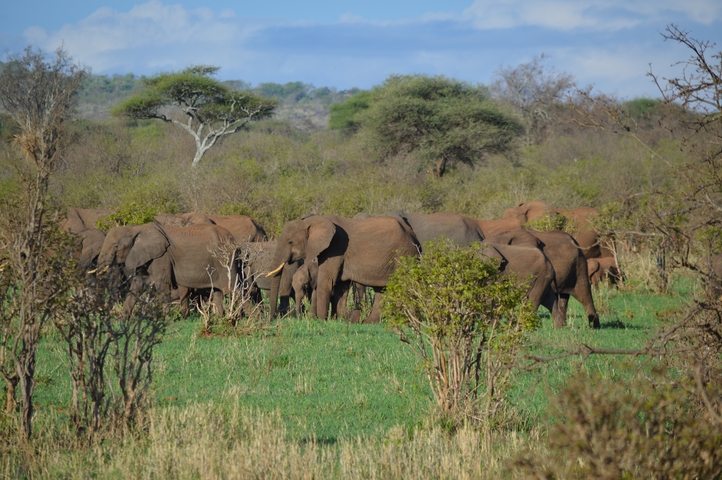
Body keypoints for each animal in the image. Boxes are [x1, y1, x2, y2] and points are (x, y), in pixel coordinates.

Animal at [96, 222, 241, 316]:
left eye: (115, 246)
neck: (135, 229)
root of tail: (233, 238)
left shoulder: (162, 257)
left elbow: (162, 285)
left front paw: (164, 319)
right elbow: (138, 284)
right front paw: (123, 320)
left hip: (226, 260)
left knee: (233, 290)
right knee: (218, 292)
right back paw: (219, 319)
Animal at [266, 214, 421, 323]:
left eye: (290, 242)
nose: (272, 318)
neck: (312, 221)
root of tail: (414, 235)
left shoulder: (334, 248)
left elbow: (327, 282)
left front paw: (321, 320)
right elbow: (341, 287)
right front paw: (350, 316)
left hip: (405, 255)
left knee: (407, 286)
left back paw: (410, 322)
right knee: (380, 290)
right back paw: (369, 322)